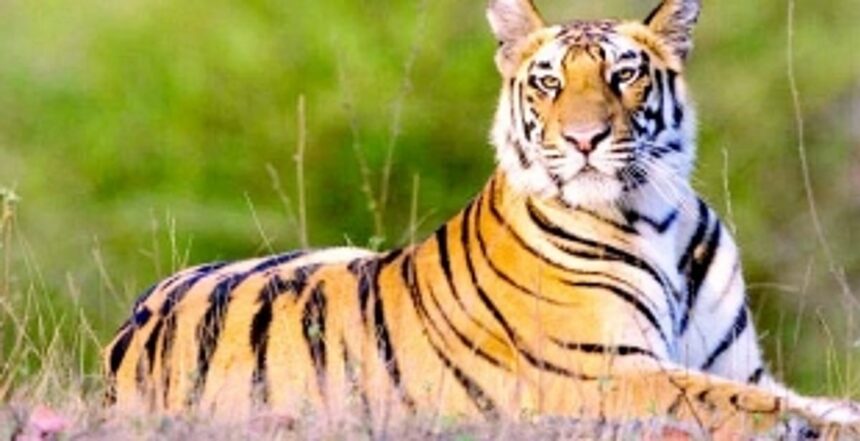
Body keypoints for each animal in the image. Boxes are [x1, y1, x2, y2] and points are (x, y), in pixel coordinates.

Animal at [103, 0, 860, 438]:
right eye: (549, 82)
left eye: (624, 75)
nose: (584, 138)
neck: (657, 216)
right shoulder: (607, 372)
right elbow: (750, 407)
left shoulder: (740, 365)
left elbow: (793, 397)